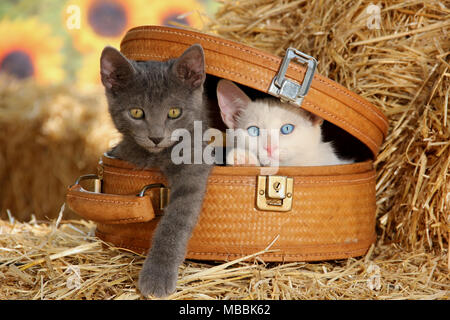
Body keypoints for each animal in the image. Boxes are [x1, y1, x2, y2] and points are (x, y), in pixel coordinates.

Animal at [100, 43, 213, 296]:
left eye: (174, 112)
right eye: (136, 112)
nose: (156, 137)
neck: (158, 155)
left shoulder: (193, 163)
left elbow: (175, 222)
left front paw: (157, 275)